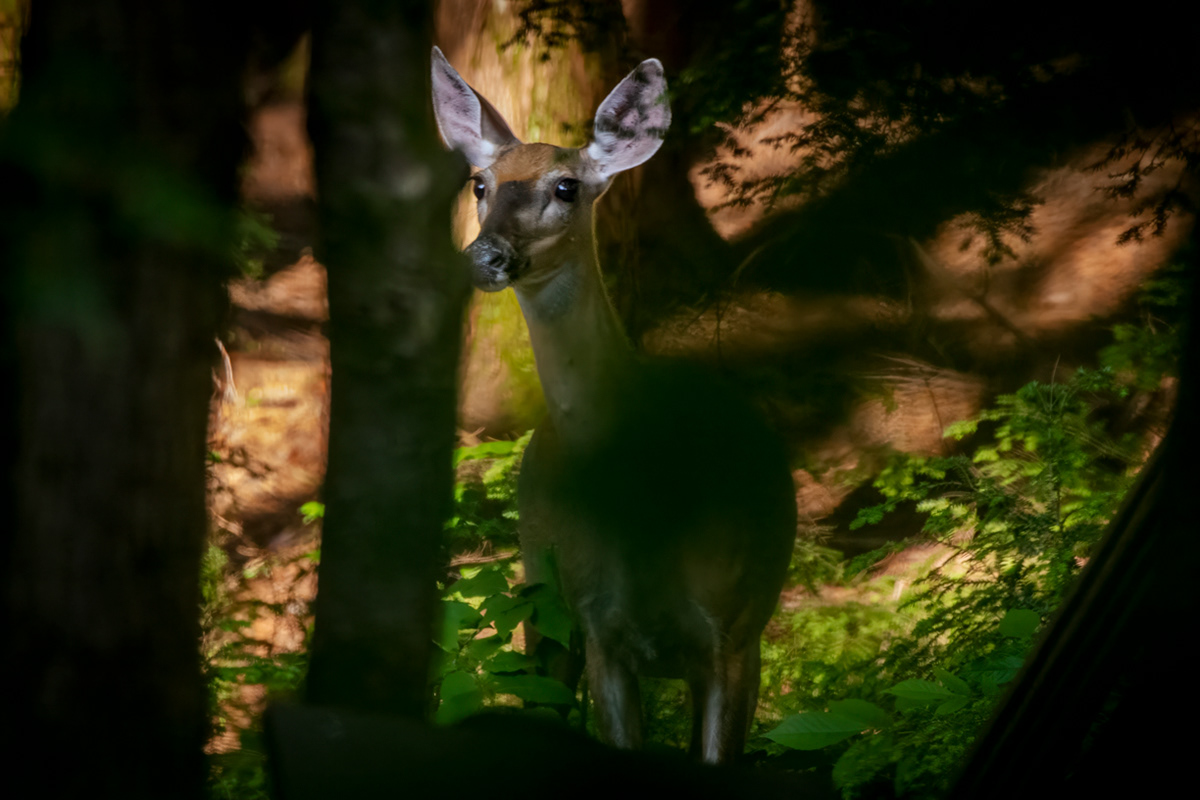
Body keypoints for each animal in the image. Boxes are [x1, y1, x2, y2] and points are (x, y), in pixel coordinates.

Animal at [431, 47, 797, 764]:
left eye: (567, 187)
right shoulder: (599, 626)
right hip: (542, 590)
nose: (485, 256)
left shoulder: (733, 629)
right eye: (481, 185)